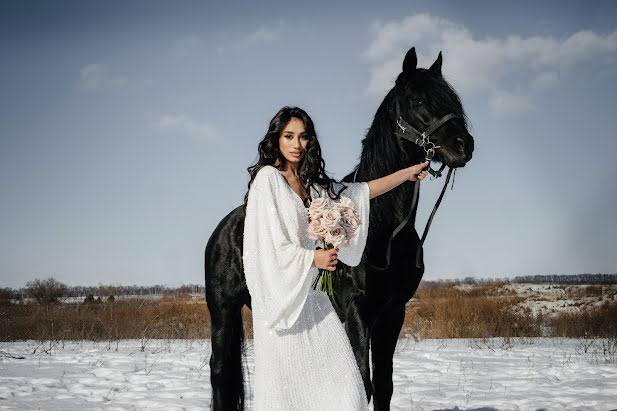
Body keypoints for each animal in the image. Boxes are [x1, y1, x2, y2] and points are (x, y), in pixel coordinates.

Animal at [205, 46, 474, 410]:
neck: (384, 230)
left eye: (451, 98)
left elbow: (384, 386)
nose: (464, 145)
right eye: (418, 99)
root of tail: (223, 229)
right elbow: (364, 382)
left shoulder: (393, 314)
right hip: (223, 310)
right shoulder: (358, 311)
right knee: (220, 371)